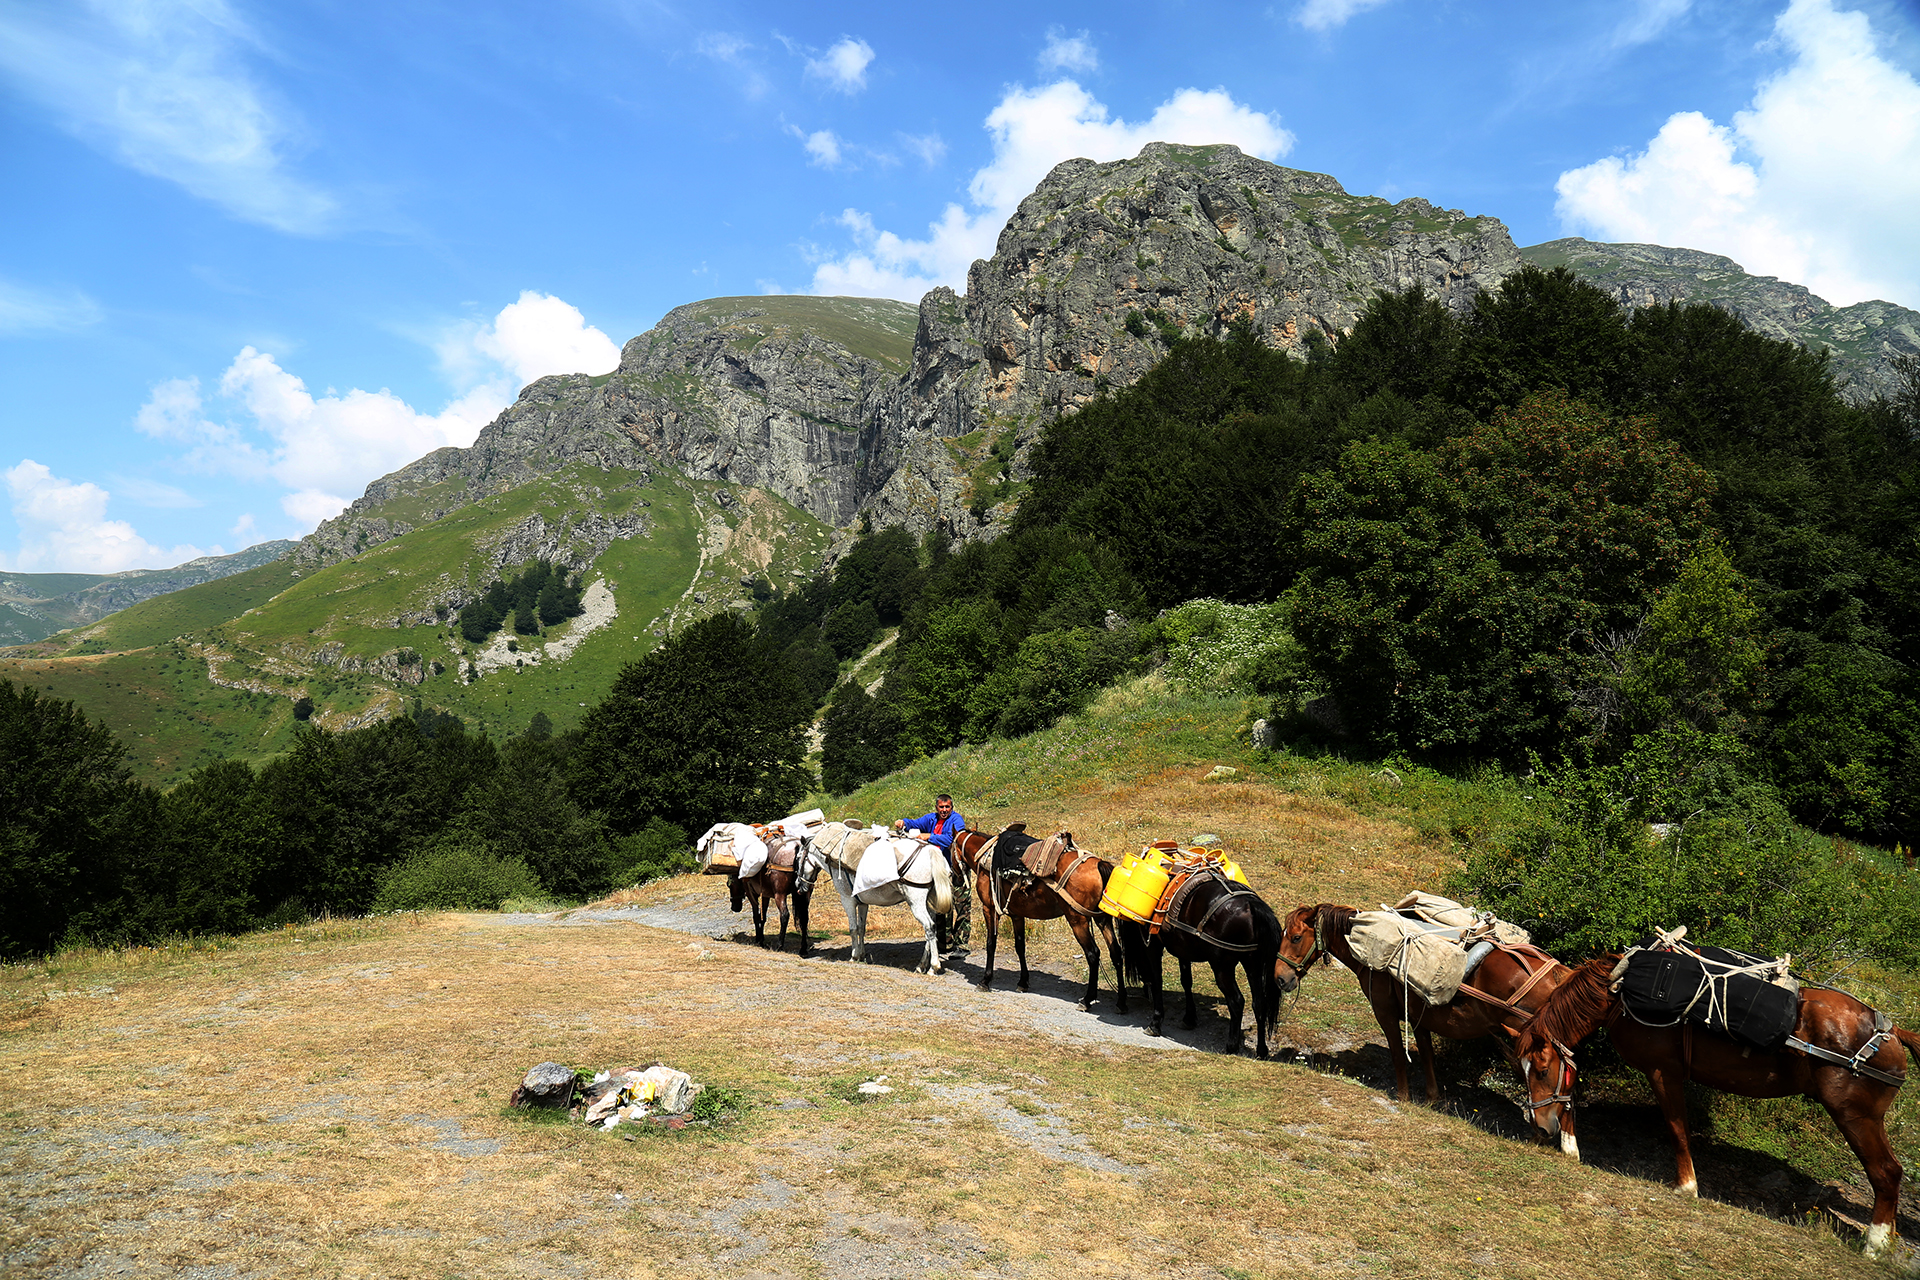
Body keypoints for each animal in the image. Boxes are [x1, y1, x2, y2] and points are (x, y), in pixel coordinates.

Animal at [807, 821, 954, 974]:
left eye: (799, 857)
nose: (801, 885)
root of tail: (930, 850)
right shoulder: (862, 903)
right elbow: (861, 928)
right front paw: (861, 955)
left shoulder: (847, 899)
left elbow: (853, 929)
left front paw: (854, 956)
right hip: (929, 902)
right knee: (932, 929)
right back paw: (922, 965)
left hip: (916, 902)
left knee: (929, 927)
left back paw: (933, 966)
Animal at [949, 826, 1128, 1013]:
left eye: (949, 848)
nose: (954, 876)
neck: (985, 856)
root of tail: (1098, 863)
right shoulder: (1017, 915)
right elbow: (1020, 946)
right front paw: (1023, 982)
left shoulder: (989, 909)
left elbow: (991, 944)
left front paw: (985, 980)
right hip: (1103, 920)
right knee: (1116, 953)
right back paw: (1121, 1001)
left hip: (1078, 920)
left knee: (1093, 954)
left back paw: (1087, 1000)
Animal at [1115, 870, 1281, 1057]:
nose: (1144, 988)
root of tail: (1250, 904)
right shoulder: (1182, 949)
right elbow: (1186, 981)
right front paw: (1189, 1018)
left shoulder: (1153, 945)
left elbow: (1158, 979)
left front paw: (1155, 1022)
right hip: (1253, 964)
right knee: (1259, 1003)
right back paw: (1261, 1050)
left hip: (1222, 967)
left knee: (1237, 1001)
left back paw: (1231, 1046)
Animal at [1275, 904, 1574, 1117]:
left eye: (1296, 937)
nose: (1280, 978)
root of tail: (1557, 974)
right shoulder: (1420, 1018)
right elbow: (1428, 1055)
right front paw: (1432, 1098)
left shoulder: (1385, 1014)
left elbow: (1398, 1053)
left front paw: (1403, 1096)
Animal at [1515, 955, 1920, 1257]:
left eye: (1542, 1069)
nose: (1540, 1124)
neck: (1621, 991)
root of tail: (1894, 1033)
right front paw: (1570, 1145)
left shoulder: (1664, 1072)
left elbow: (1677, 1129)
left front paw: (1686, 1186)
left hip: (1855, 1115)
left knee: (1887, 1172)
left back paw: (1875, 1243)